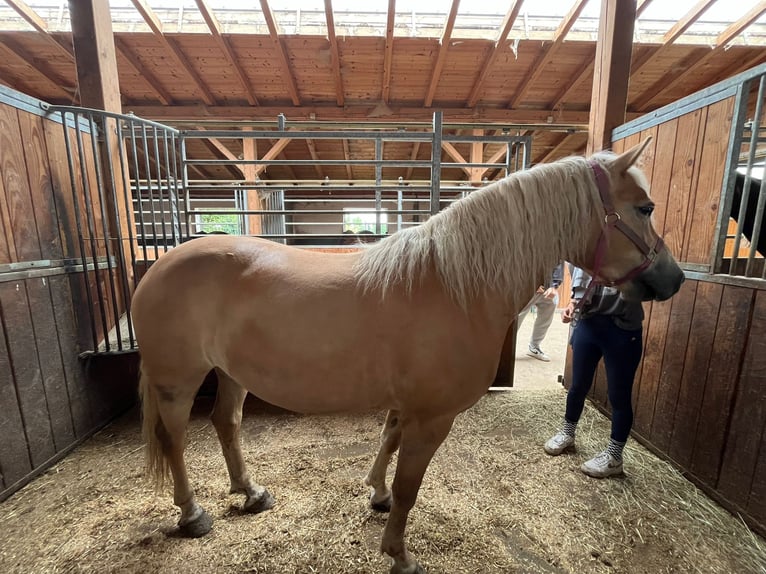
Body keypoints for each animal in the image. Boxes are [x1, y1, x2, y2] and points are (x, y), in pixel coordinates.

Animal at [130, 141, 684, 574]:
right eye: (645, 208)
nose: (674, 280)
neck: (455, 285)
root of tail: (160, 264)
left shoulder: (408, 406)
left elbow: (388, 441)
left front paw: (376, 494)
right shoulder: (433, 417)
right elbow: (409, 483)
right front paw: (398, 554)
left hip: (230, 373)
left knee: (227, 424)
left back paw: (250, 492)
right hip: (179, 381)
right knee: (175, 438)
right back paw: (191, 513)